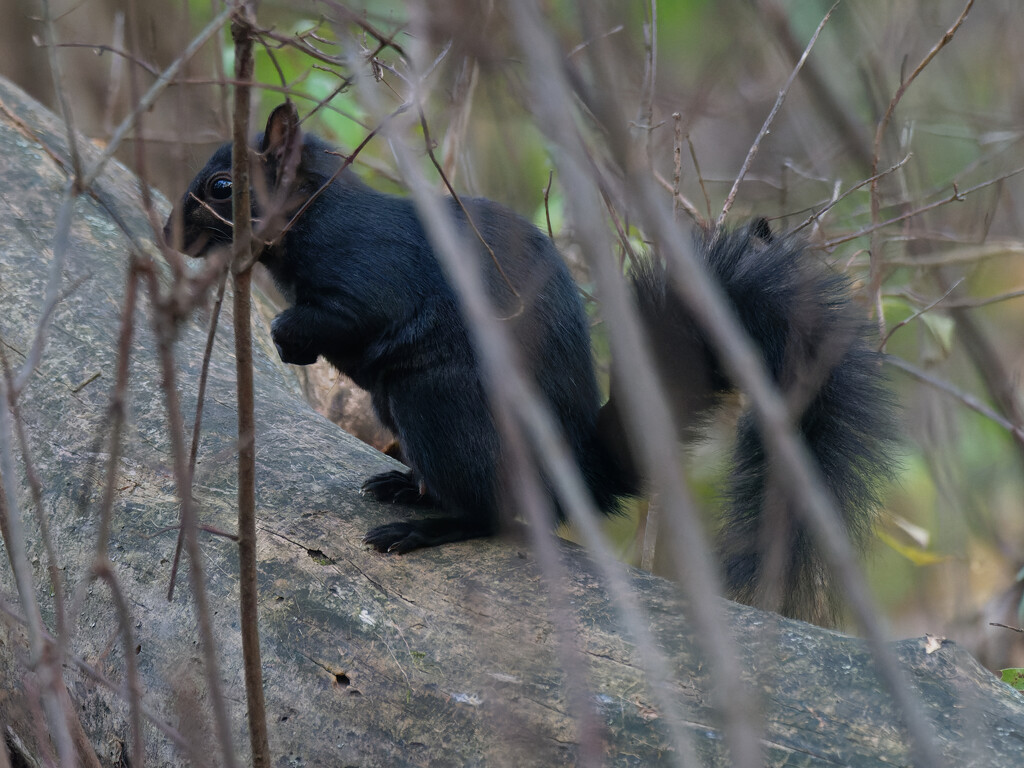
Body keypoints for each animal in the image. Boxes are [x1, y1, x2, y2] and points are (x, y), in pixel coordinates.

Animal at [163, 102, 892, 626]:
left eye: (223, 187)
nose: (171, 236)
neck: (312, 219)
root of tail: (571, 471)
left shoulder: (372, 276)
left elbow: (345, 316)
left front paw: (288, 336)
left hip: (439, 404)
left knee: (495, 515)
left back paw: (421, 528)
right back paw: (406, 487)